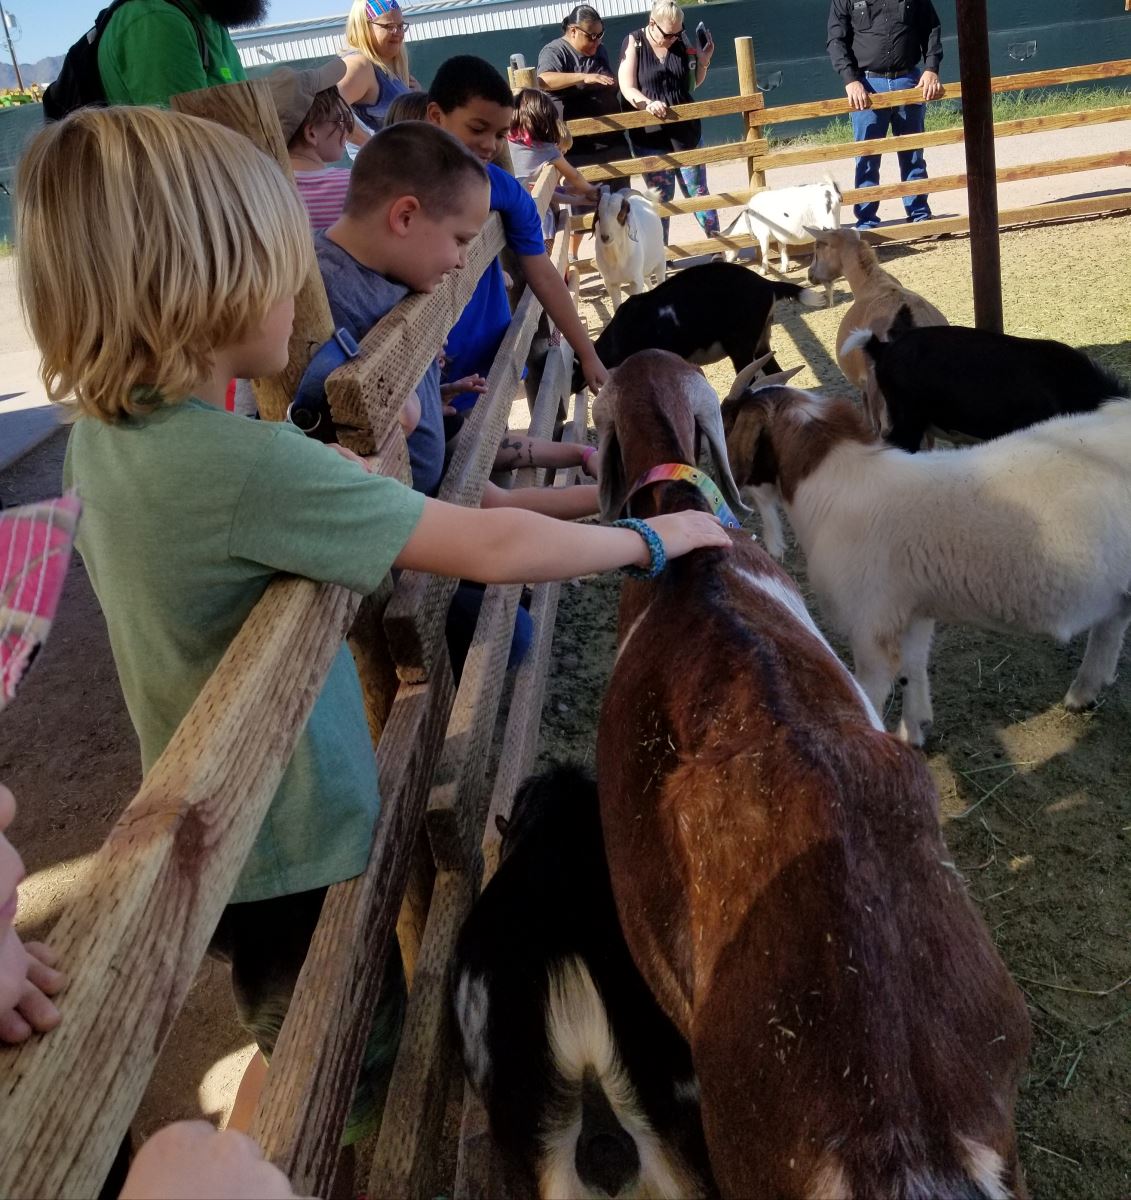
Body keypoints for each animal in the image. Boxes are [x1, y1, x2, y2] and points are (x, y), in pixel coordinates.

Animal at [725, 381, 1131, 739]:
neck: (832, 490)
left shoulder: (869, 623)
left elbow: (872, 691)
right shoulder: (910, 611)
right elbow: (913, 667)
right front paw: (915, 731)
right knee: (1112, 625)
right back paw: (1083, 692)